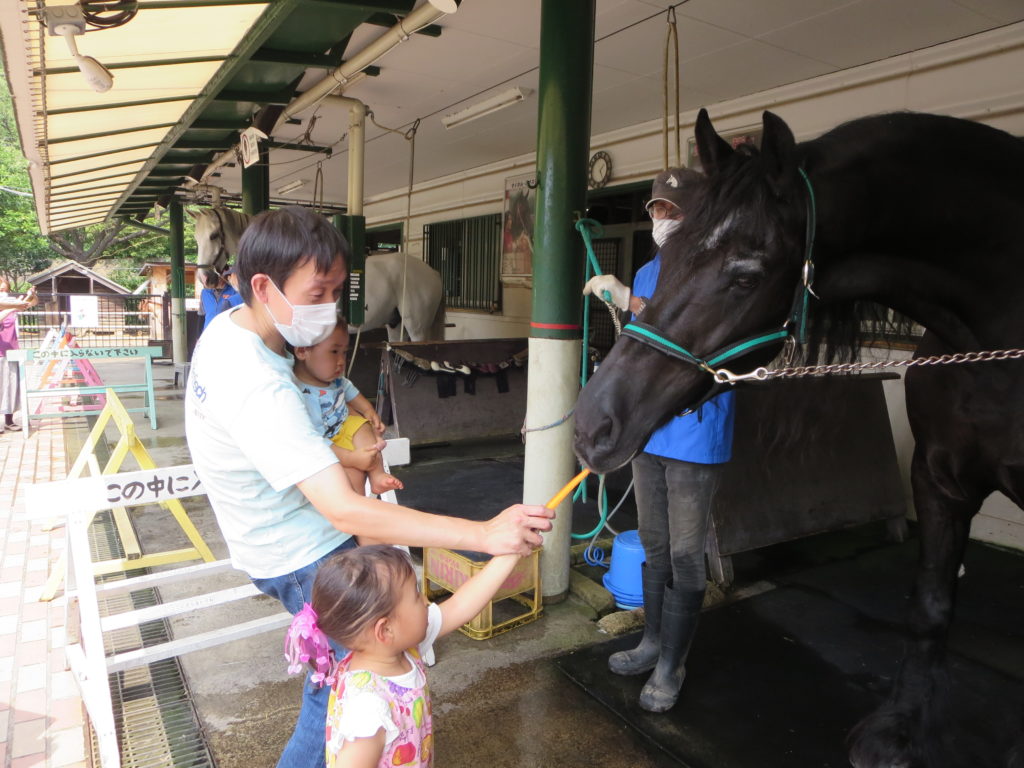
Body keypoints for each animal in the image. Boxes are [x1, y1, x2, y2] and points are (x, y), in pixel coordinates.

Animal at [189, 206, 445, 341]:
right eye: (196, 238)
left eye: (214, 235)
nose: (205, 279)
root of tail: (433, 273)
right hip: (395, 325)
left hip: (416, 327)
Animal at [573, 109, 1024, 767]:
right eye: (671, 252)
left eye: (746, 276)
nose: (590, 425)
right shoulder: (938, 477)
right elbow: (930, 605)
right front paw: (898, 731)